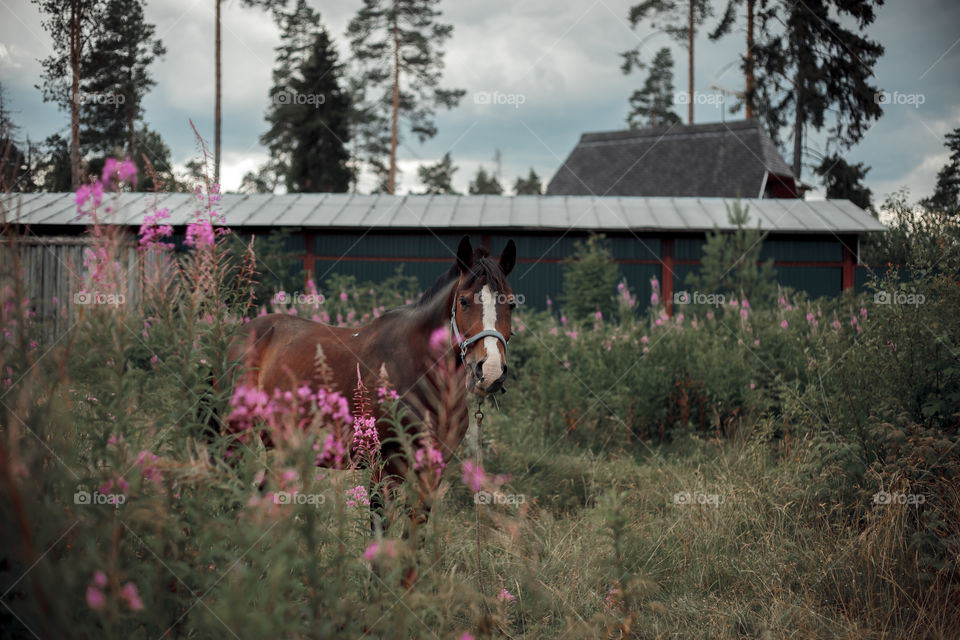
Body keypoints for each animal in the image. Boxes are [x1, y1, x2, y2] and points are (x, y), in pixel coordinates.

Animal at [226, 235, 516, 528]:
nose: (489, 370)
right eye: (464, 301)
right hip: (234, 436)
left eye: (512, 304)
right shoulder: (386, 465)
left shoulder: (432, 469)